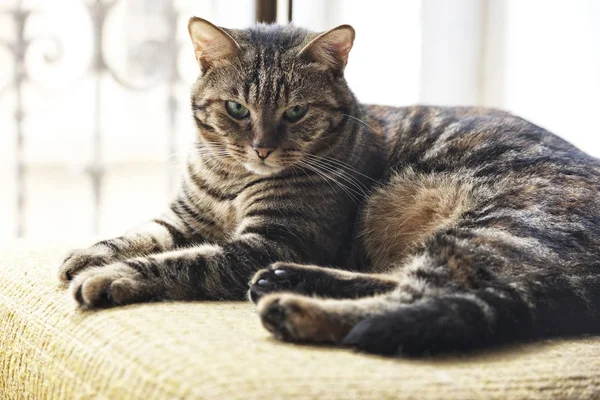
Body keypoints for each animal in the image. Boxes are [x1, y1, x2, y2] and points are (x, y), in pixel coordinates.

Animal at [58, 17, 600, 356]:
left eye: (295, 112)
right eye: (236, 108)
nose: (262, 148)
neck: (234, 180)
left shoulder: (269, 241)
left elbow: (182, 262)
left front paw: (109, 276)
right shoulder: (186, 218)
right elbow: (140, 234)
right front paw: (86, 255)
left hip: (489, 226)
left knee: (416, 297)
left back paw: (293, 307)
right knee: (408, 282)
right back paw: (287, 282)